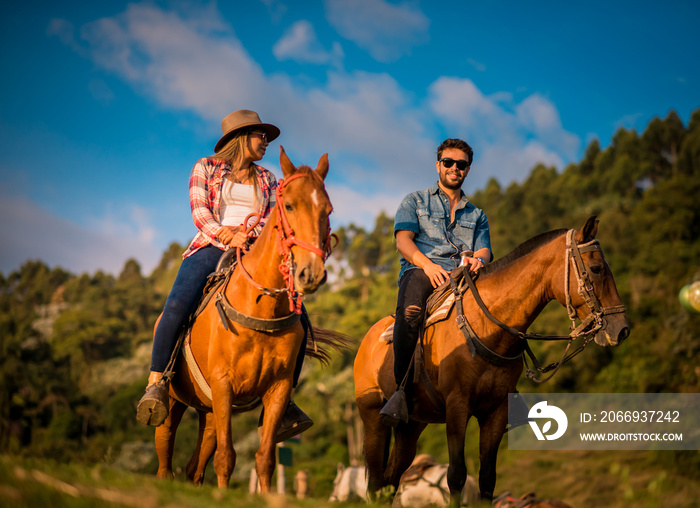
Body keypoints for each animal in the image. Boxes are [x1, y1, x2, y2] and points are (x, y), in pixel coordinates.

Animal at [152, 146, 336, 488]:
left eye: (327, 209)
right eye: (288, 205)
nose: (311, 273)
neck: (260, 308)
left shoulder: (277, 389)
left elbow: (264, 459)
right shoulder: (224, 385)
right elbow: (226, 458)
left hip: (209, 411)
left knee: (194, 468)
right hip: (172, 405)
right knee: (165, 465)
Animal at [356, 216, 628, 506]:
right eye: (597, 268)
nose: (622, 329)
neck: (486, 325)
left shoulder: (496, 410)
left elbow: (487, 479)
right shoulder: (457, 405)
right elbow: (456, 475)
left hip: (412, 424)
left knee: (390, 482)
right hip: (373, 418)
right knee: (376, 484)